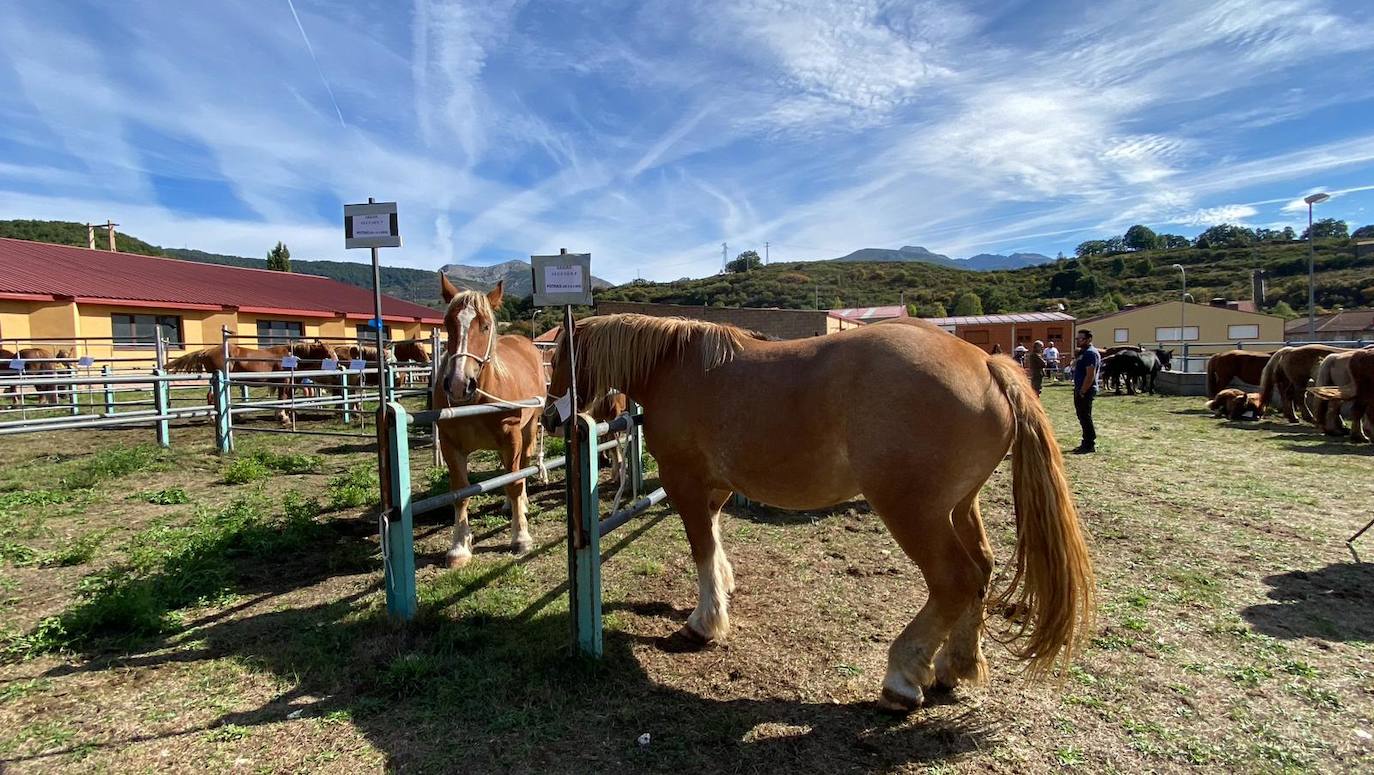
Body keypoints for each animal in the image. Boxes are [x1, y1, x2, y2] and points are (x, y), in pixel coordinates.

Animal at [436, 274, 549, 566]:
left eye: (485, 326)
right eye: (447, 324)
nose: (458, 384)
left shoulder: (512, 437)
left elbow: (515, 481)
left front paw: (521, 537)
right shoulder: (450, 445)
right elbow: (460, 493)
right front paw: (459, 547)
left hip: (528, 430)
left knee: (521, 467)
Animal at [541, 311, 1088, 709]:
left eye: (561, 358)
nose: (548, 419)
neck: (675, 368)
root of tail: (986, 364)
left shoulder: (686, 484)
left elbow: (701, 548)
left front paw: (705, 621)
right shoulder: (715, 488)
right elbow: (714, 540)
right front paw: (725, 588)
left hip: (913, 512)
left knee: (955, 580)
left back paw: (902, 677)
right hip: (958, 507)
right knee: (982, 571)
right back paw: (956, 667)